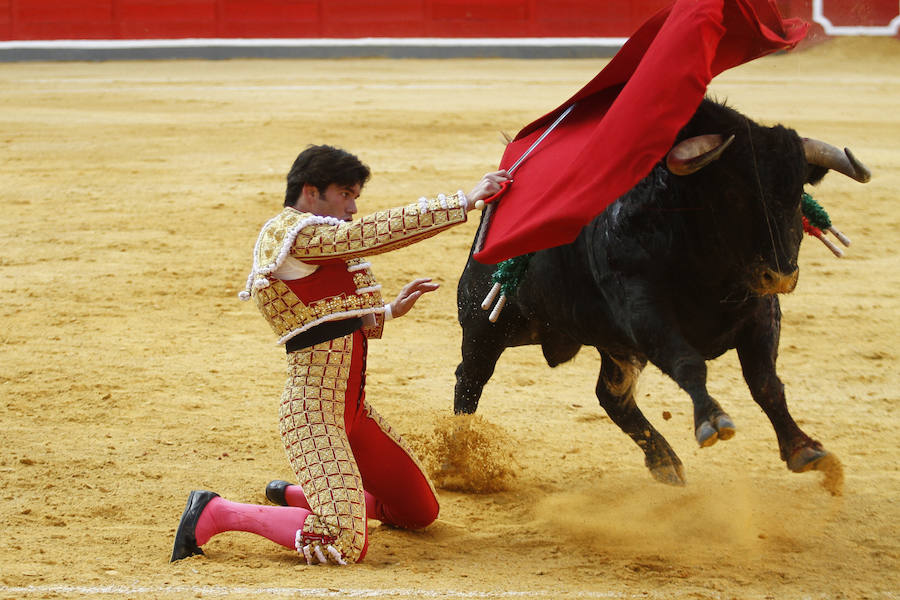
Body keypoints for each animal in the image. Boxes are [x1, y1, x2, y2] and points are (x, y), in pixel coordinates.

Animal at [458, 99, 872, 488]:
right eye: (733, 192)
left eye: (797, 192)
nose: (781, 275)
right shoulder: (643, 311)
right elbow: (688, 362)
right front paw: (713, 421)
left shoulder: (761, 312)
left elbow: (765, 382)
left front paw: (805, 449)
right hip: (486, 326)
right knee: (470, 378)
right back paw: (457, 455)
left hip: (614, 345)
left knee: (612, 396)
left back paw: (664, 463)